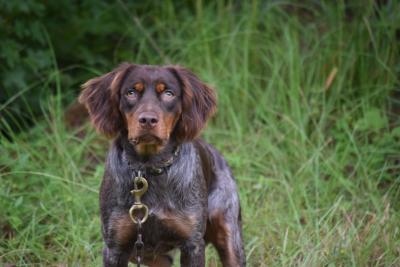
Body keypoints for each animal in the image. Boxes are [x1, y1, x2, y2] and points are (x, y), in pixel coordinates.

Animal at [79, 63, 245, 266]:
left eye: (168, 93)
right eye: (131, 92)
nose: (148, 120)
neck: (148, 168)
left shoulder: (192, 244)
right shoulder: (114, 247)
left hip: (229, 234)